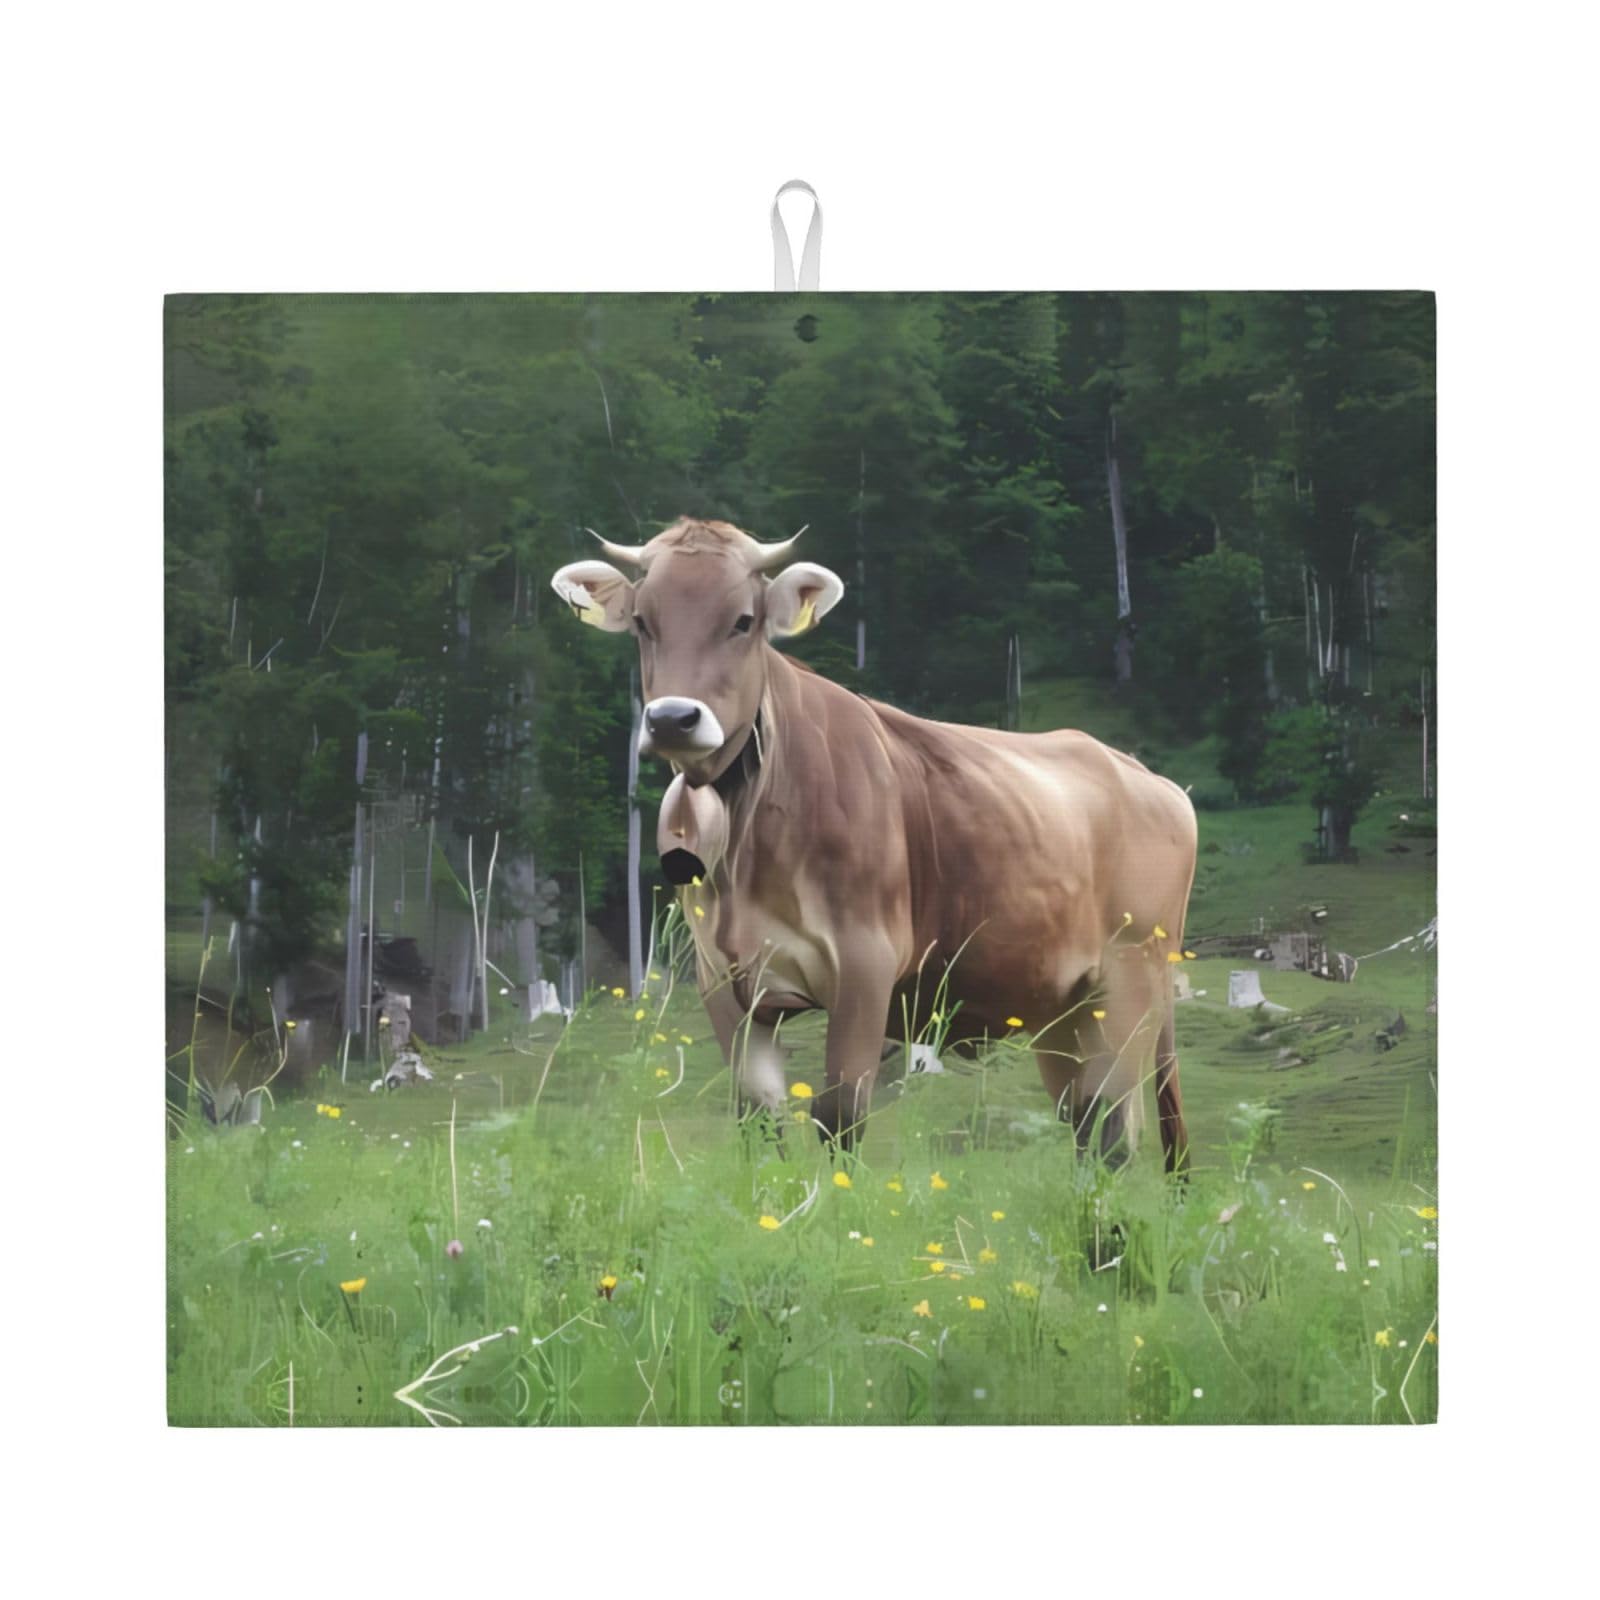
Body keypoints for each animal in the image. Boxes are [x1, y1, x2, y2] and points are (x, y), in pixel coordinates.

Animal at [552, 518, 1197, 1172]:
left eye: (743, 620)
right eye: (642, 622)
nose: (672, 719)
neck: (748, 845)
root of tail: (1152, 779)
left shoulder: (865, 962)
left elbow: (840, 1116)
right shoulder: (724, 980)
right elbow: (759, 1122)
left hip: (1131, 980)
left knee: (1117, 1127)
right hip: (1061, 1007)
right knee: (1085, 1119)